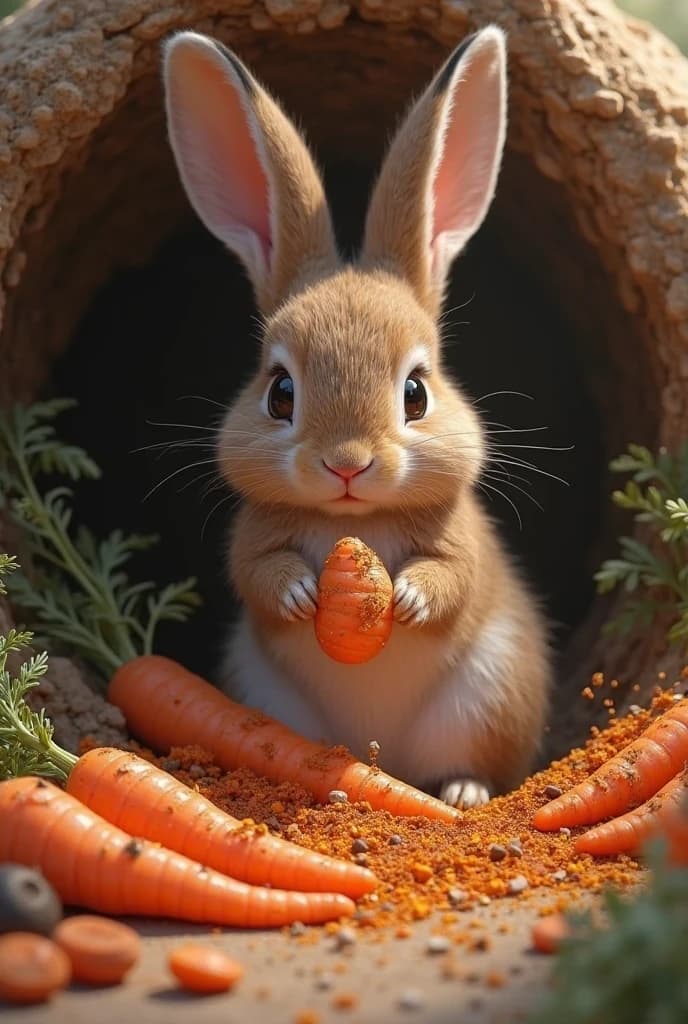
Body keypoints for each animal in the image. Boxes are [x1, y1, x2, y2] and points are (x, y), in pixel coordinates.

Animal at [162, 26, 550, 808]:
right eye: (281, 393)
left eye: (417, 394)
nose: (347, 464)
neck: (354, 523)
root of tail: (382, 755)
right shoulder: (252, 539)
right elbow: (258, 574)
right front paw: (303, 593)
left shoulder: (461, 540)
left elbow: (455, 576)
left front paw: (408, 600)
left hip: (488, 694)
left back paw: (463, 794)